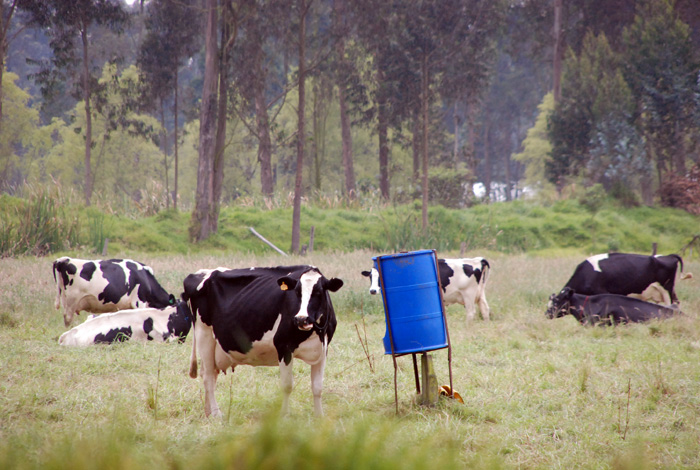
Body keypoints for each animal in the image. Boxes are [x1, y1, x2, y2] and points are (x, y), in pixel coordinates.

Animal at [182, 266, 344, 416]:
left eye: (319, 292)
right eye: (297, 293)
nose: (301, 319)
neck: (316, 332)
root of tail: (201, 273)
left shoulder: (323, 349)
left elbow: (317, 387)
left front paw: (319, 416)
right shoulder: (283, 346)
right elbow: (287, 386)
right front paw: (285, 416)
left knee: (209, 373)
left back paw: (208, 412)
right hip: (204, 333)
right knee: (208, 376)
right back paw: (216, 414)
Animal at [360, 258, 492, 320]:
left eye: (380, 278)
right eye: (370, 276)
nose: (373, 290)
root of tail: (477, 260)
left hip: (468, 294)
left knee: (471, 312)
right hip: (480, 293)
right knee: (485, 309)